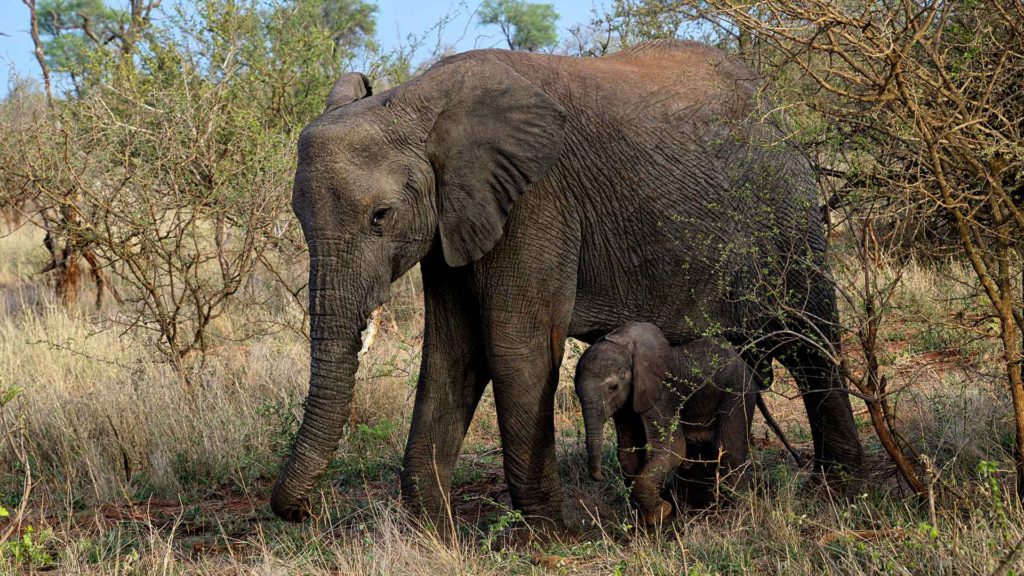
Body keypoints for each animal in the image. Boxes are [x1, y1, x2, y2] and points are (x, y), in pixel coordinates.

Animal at [270, 39, 863, 531]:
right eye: (297, 217)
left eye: (381, 216)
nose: (303, 512)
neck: (416, 100)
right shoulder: (451, 221)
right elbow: (451, 352)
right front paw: (432, 535)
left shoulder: (536, 201)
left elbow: (517, 350)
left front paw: (551, 535)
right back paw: (702, 504)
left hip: (785, 212)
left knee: (811, 340)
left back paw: (839, 493)